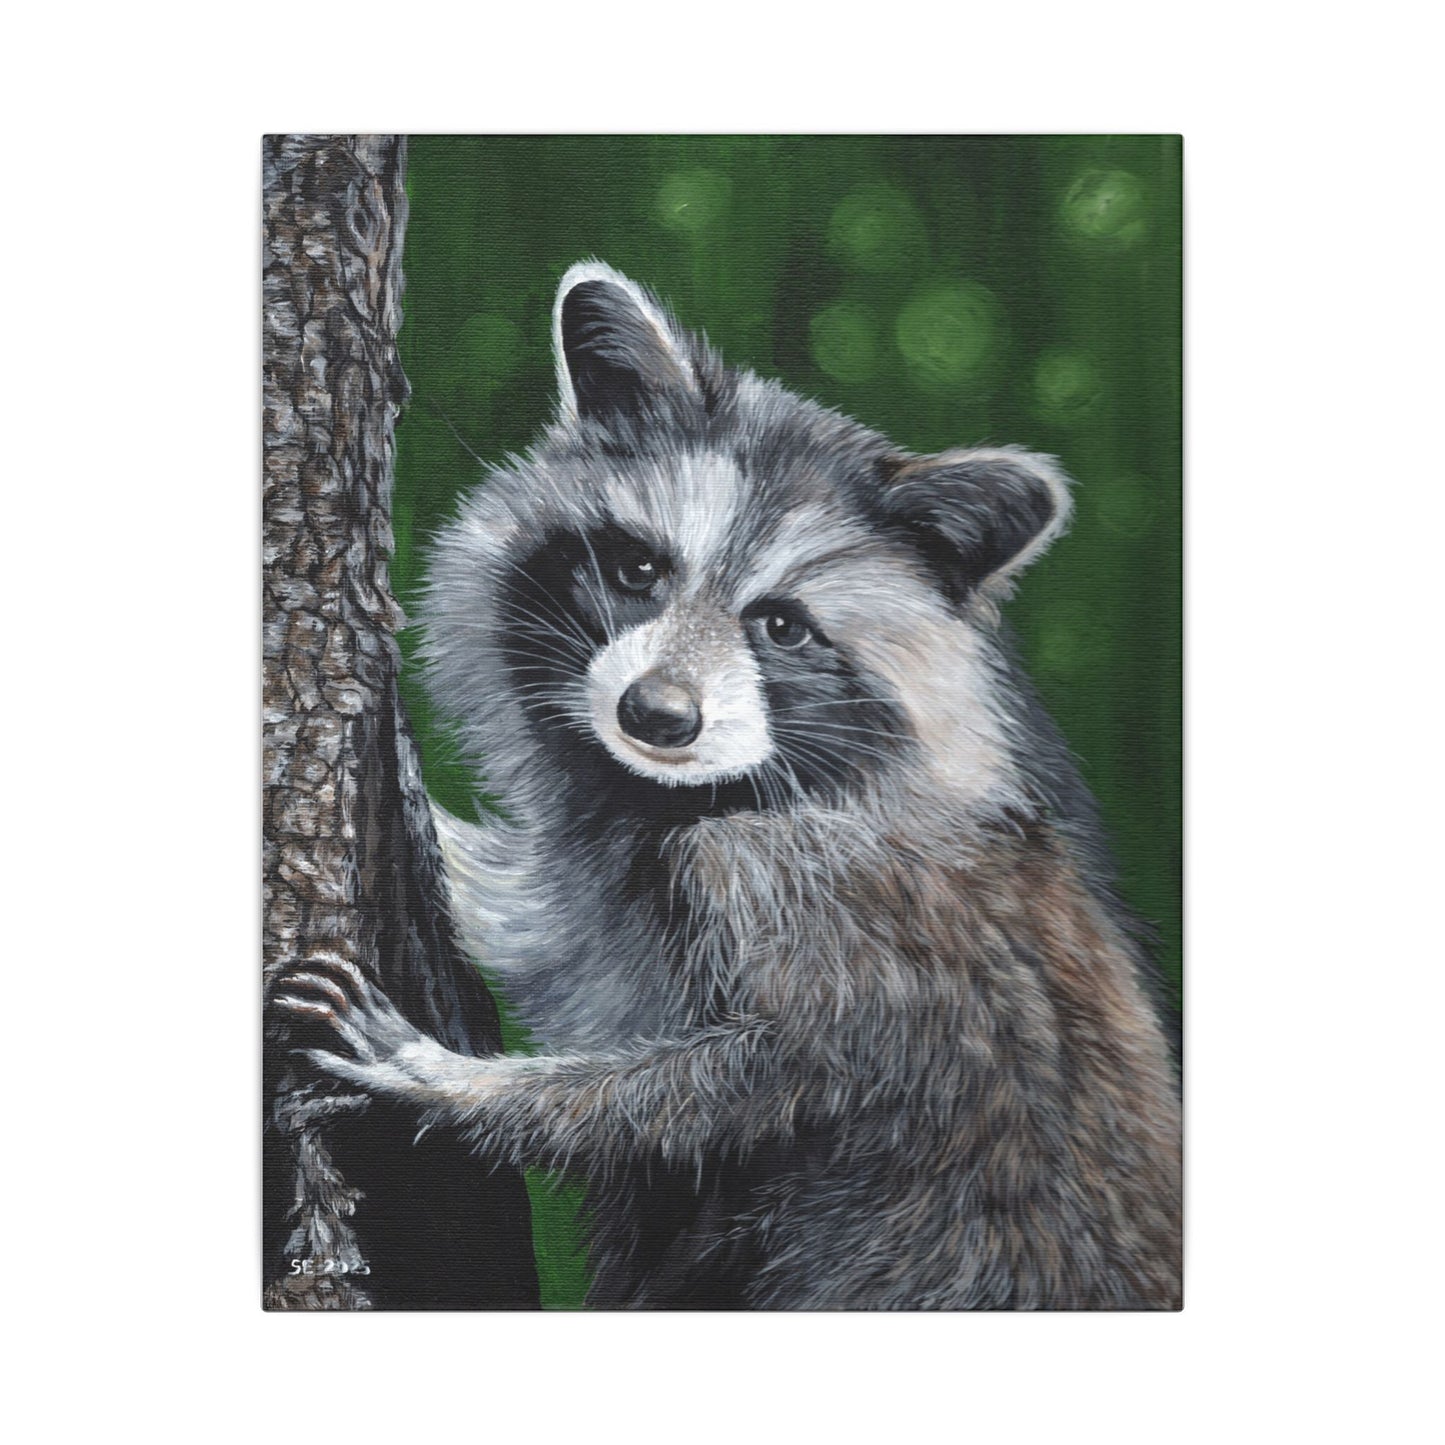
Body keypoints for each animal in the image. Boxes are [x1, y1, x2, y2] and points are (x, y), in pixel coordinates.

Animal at [279, 261, 1182, 1310]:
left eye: (781, 626)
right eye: (637, 568)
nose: (656, 716)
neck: (692, 795)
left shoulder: (830, 902)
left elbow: (748, 1081)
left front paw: (452, 1081)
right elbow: (547, 927)